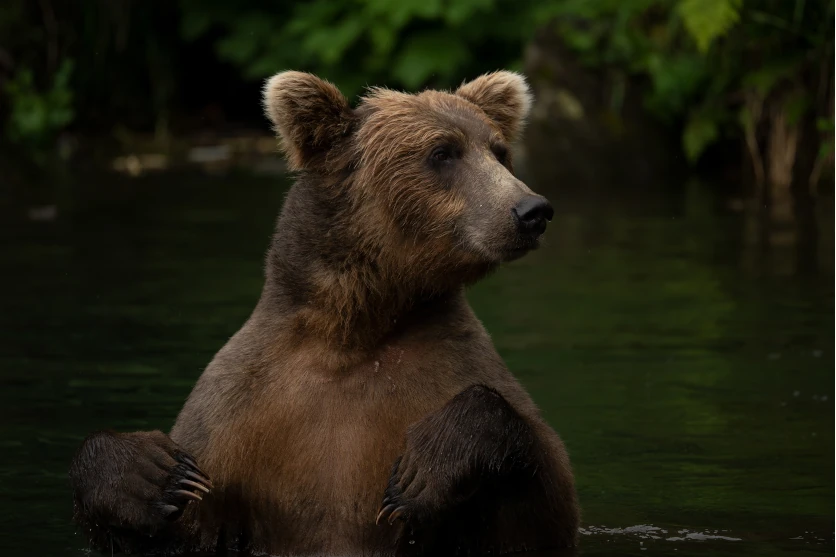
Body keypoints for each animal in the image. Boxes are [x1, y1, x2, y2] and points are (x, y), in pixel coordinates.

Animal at [68, 70, 580, 556]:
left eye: (499, 151)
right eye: (442, 152)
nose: (531, 209)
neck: (353, 332)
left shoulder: (445, 369)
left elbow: (538, 499)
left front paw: (421, 471)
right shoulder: (241, 413)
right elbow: (178, 518)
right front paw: (154, 472)